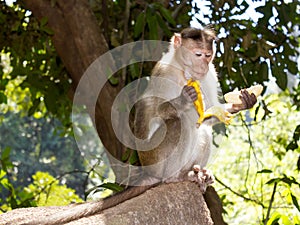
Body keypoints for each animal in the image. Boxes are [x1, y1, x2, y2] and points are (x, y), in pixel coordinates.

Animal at [22, 28, 258, 225]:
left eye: (208, 56)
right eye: (198, 54)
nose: (203, 65)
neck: (184, 71)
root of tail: (149, 170)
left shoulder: (209, 75)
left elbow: (207, 114)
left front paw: (241, 103)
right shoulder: (164, 72)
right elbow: (154, 114)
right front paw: (181, 101)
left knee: (202, 130)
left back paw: (197, 174)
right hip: (157, 159)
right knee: (179, 122)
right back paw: (176, 177)